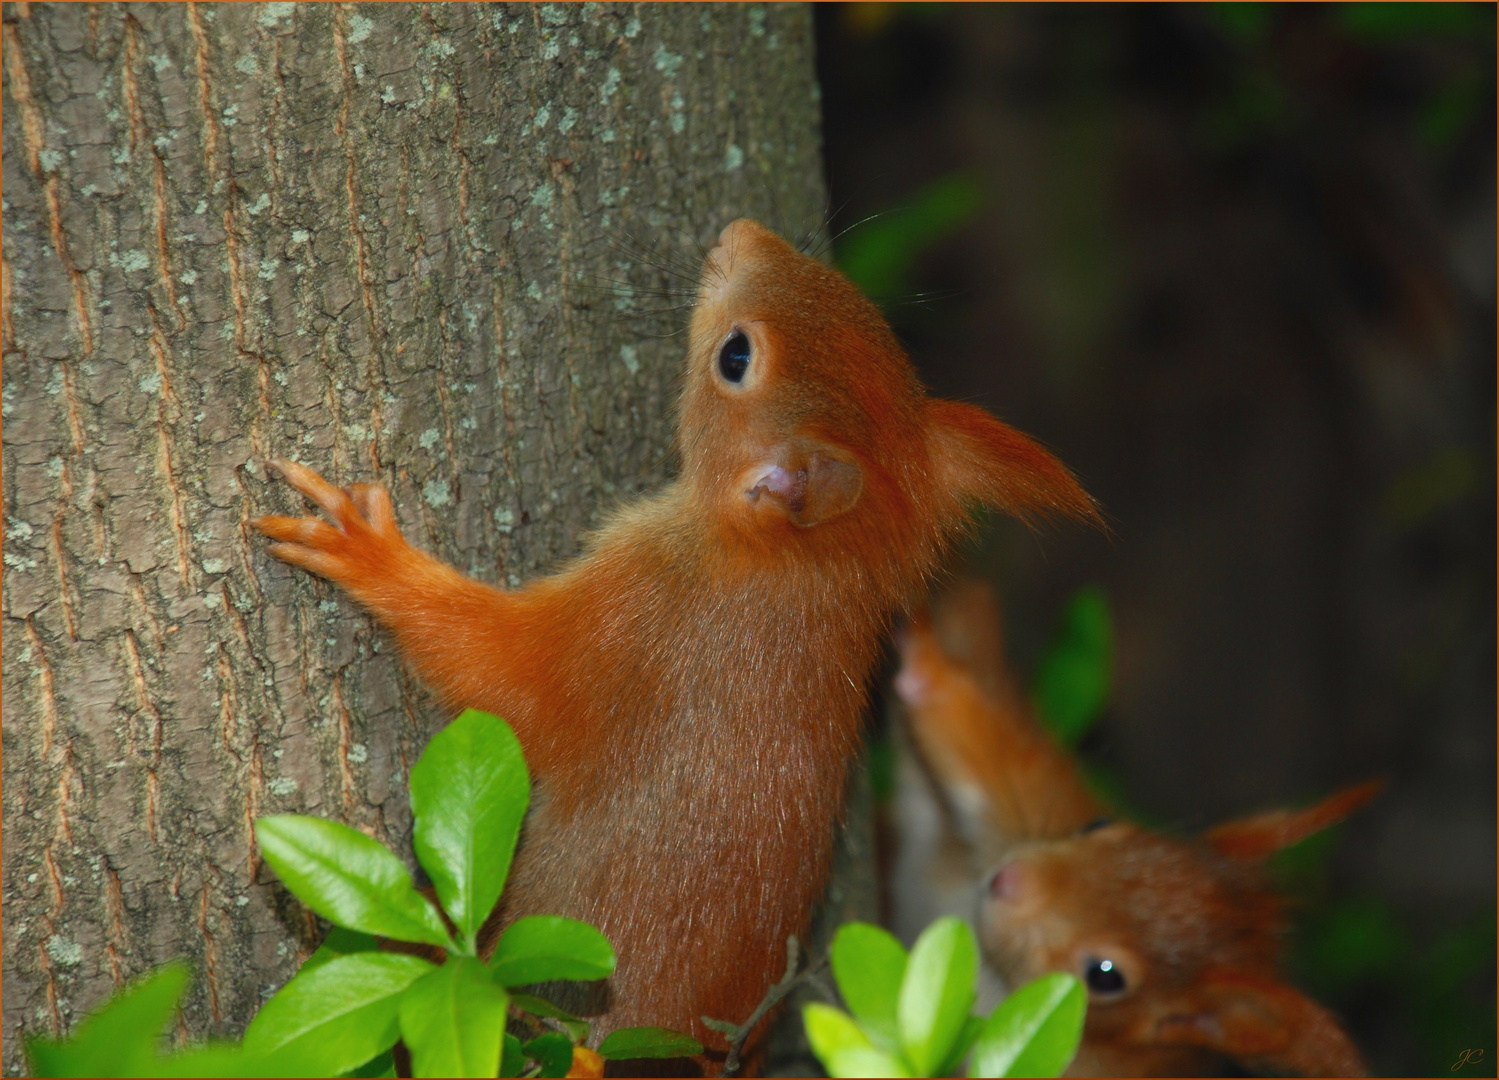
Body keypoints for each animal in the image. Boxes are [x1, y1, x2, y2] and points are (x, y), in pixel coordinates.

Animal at [254, 219, 1103, 1062]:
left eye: (735, 357)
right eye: (871, 317)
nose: (740, 232)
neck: (805, 571)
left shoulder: (633, 624)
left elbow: (495, 665)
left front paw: (372, 555)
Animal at [893, 585, 1373, 1074]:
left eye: (1105, 976)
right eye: (1098, 823)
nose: (1010, 879)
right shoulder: (1023, 813)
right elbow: (979, 741)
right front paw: (922, 659)